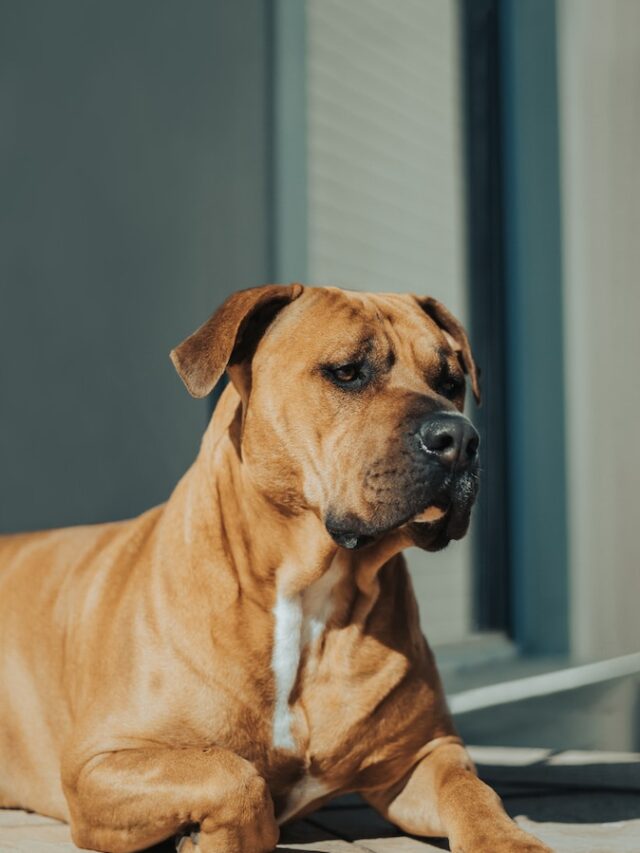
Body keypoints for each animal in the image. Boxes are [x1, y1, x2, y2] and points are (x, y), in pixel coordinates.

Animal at [0, 286, 552, 852]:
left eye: (451, 382)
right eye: (347, 372)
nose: (459, 439)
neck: (306, 594)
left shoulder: (423, 756)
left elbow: (473, 793)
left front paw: (511, 841)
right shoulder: (98, 762)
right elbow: (235, 777)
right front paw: (215, 832)